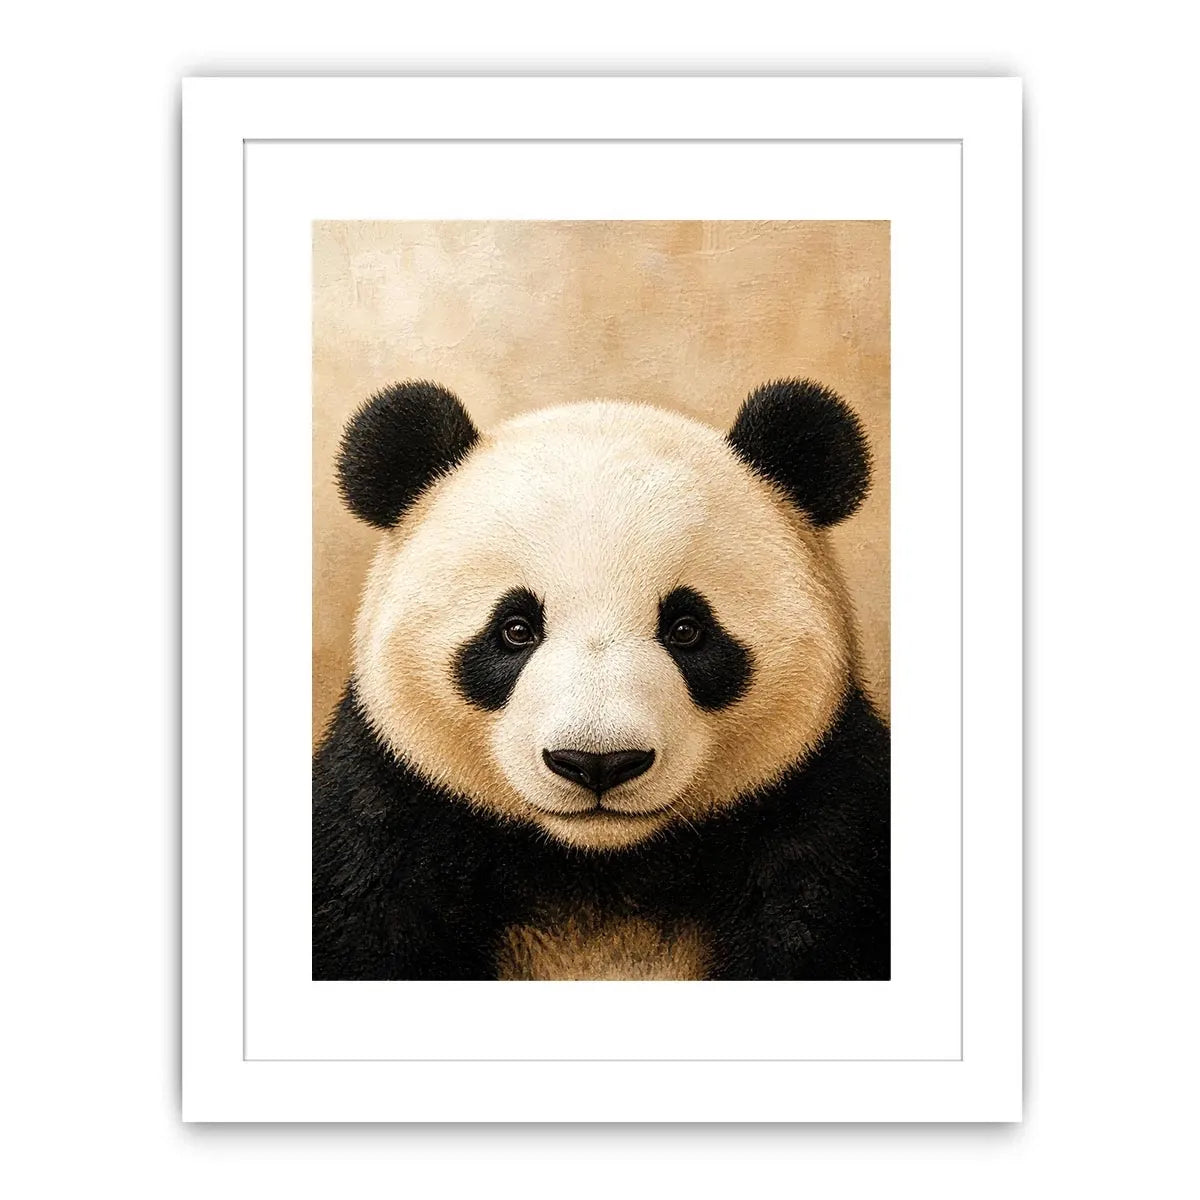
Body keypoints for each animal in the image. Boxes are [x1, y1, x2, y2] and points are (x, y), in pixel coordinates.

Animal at [313, 378, 889, 981]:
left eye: (687, 628)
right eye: (515, 629)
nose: (598, 762)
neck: (599, 868)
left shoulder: (824, 819)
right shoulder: (386, 818)